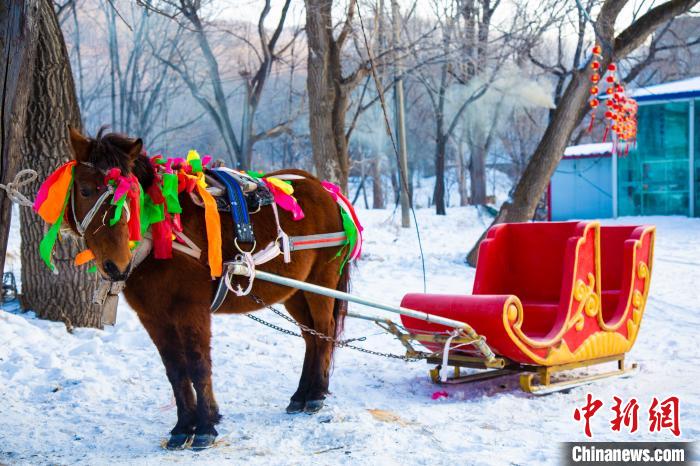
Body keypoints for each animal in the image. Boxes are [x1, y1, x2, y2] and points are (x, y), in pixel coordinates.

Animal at [65, 127, 350, 448]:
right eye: (84, 190)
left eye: (133, 193)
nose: (117, 265)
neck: (163, 235)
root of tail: (324, 188)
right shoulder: (153, 317)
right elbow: (175, 370)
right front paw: (182, 428)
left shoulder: (192, 310)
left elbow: (198, 365)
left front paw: (204, 427)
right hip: (295, 292)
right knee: (311, 336)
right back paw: (301, 395)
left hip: (320, 283)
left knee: (324, 330)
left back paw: (315, 395)